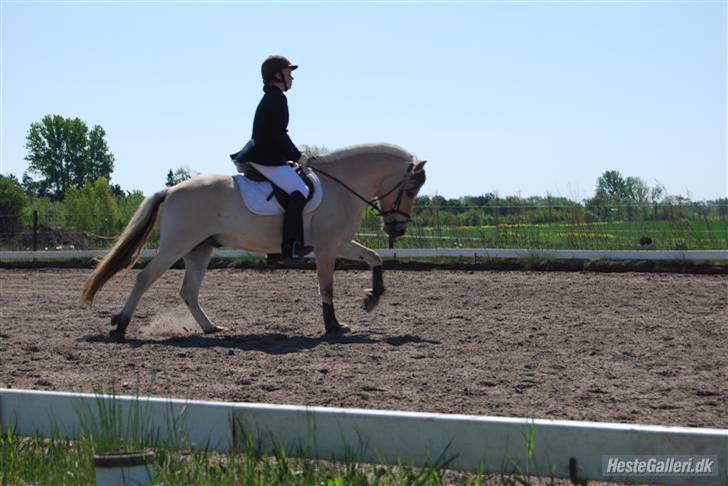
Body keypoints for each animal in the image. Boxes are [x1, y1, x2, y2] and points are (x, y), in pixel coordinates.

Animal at [81, 144, 426, 340]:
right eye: (410, 189)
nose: (398, 228)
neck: (341, 186)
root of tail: (170, 189)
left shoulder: (339, 243)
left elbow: (375, 258)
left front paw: (372, 298)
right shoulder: (328, 247)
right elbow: (327, 288)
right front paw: (334, 327)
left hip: (199, 249)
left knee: (188, 291)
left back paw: (211, 328)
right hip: (176, 246)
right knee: (145, 278)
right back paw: (120, 325)